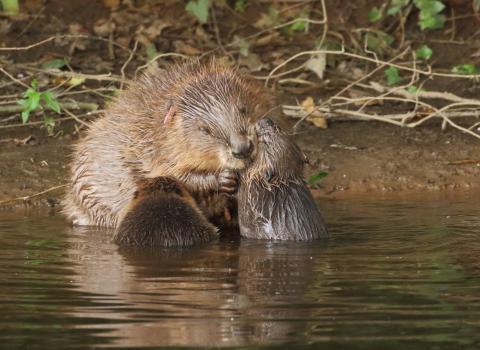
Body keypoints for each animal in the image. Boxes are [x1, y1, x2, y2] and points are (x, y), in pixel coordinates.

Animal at [63, 60, 274, 228]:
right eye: (205, 129)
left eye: (243, 109)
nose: (242, 149)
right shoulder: (153, 148)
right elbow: (174, 176)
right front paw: (224, 179)